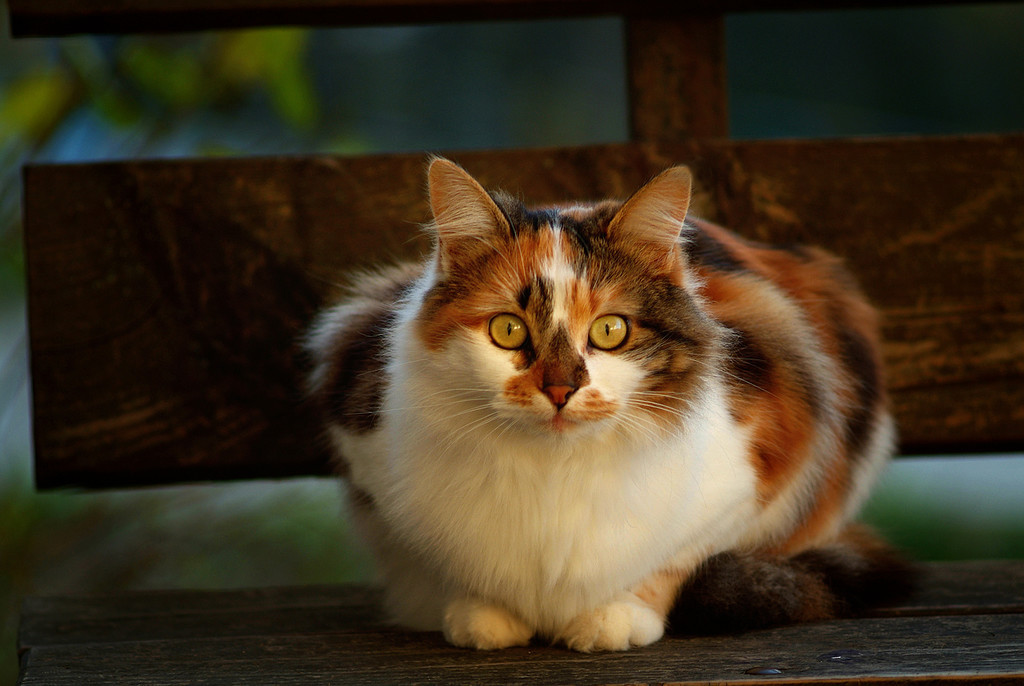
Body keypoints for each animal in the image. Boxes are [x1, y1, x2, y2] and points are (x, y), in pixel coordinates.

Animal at [303, 158, 913, 651]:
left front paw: (615, 616)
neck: (553, 474)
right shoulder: (369, 453)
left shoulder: (761, 474)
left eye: (611, 330)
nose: (560, 389)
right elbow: (450, 560)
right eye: (507, 329)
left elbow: (674, 558)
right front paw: (483, 613)